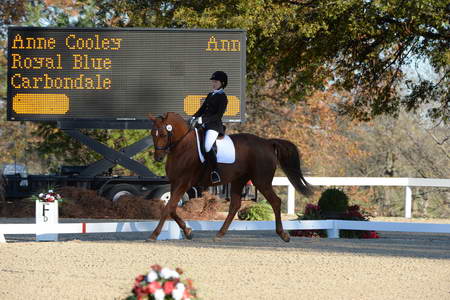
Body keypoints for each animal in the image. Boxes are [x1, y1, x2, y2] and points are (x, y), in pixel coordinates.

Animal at [148, 112, 312, 241]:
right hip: (239, 180)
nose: (158, 158)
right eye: (152, 134)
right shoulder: (175, 183)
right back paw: (220, 234)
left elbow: (168, 208)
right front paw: (188, 232)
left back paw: (283, 234)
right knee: (235, 206)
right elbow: (172, 209)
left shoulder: (183, 183)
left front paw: (154, 235)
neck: (183, 147)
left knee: (275, 202)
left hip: (261, 181)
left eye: (163, 134)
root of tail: (267, 143)